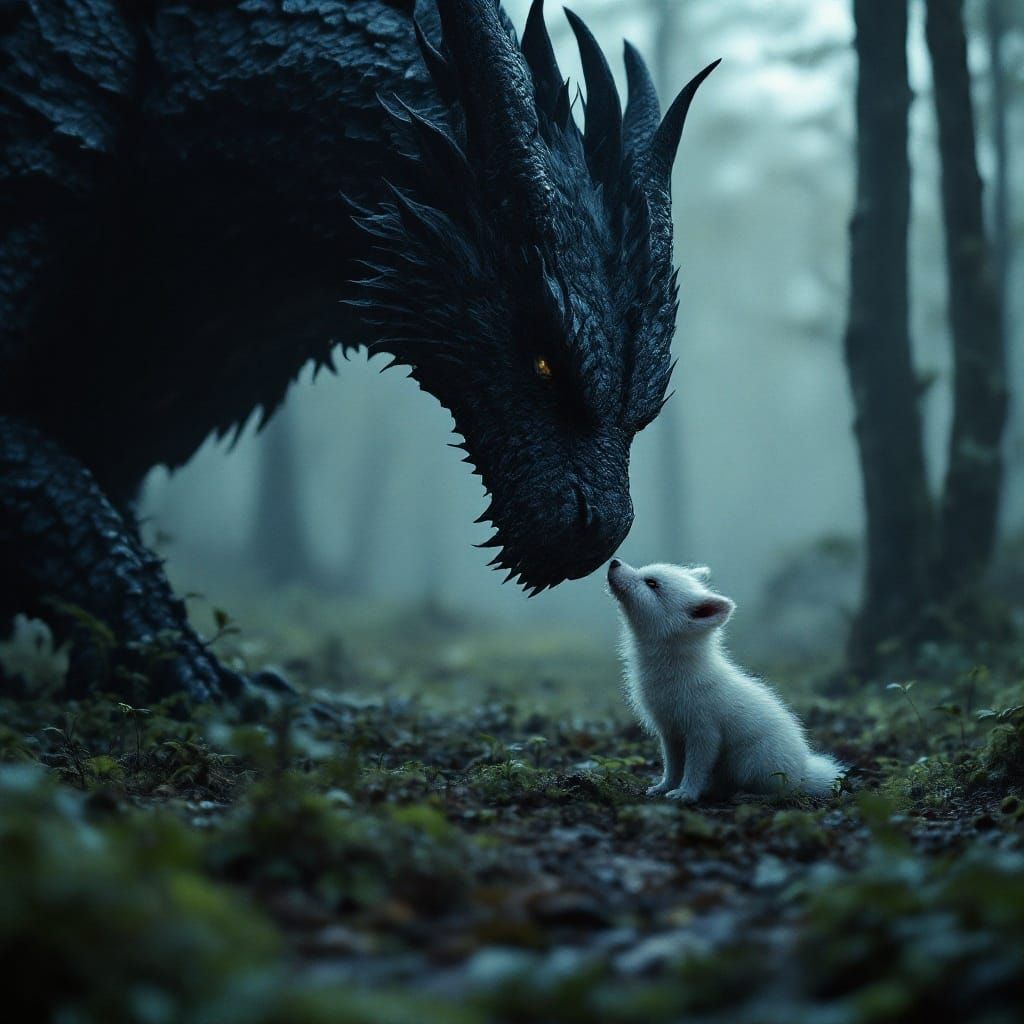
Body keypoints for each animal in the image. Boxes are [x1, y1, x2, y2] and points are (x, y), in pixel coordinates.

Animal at [607, 559, 843, 803]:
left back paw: (747, 796)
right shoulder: (670, 732)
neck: (674, 673)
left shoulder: (705, 733)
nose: (614, 562)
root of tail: (804, 770)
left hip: (750, 761)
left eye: (652, 583)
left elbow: (694, 769)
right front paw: (664, 787)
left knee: (779, 790)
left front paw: (686, 793)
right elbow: (672, 767)